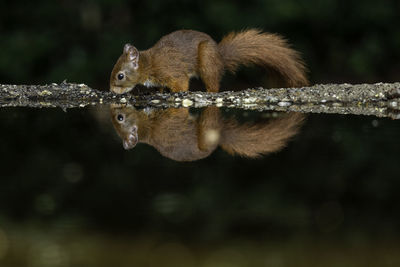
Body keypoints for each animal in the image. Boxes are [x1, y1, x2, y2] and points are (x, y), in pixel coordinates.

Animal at [111, 29, 308, 94]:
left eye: (120, 76)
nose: (112, 91)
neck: (149, 63)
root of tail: (220, 58)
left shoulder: (172, 72)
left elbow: (181, 84)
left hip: (207, 62)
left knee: (213, 84)